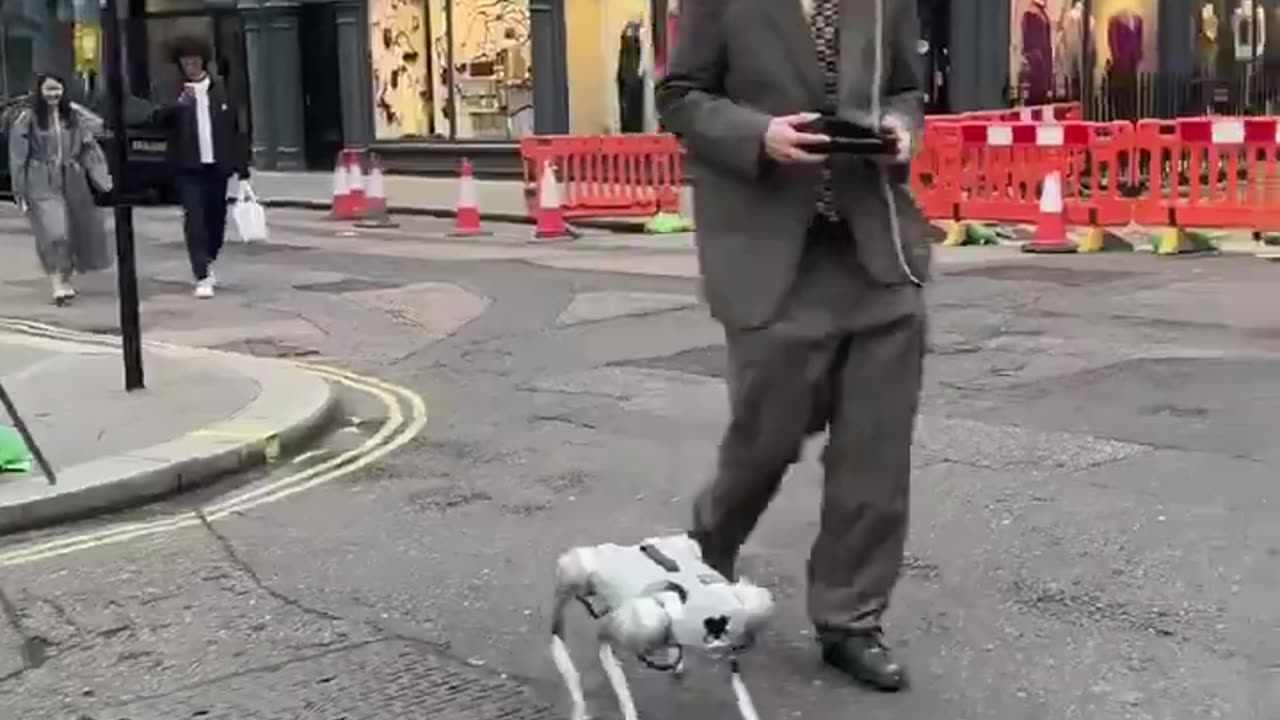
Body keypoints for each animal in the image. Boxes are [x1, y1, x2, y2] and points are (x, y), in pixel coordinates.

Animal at [547, 530, 773, 712]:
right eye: (714, 629)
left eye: (723, 630)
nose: (722, 641)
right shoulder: (638, 628)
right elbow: (604, 644)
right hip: (576, 573)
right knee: (563, 614)